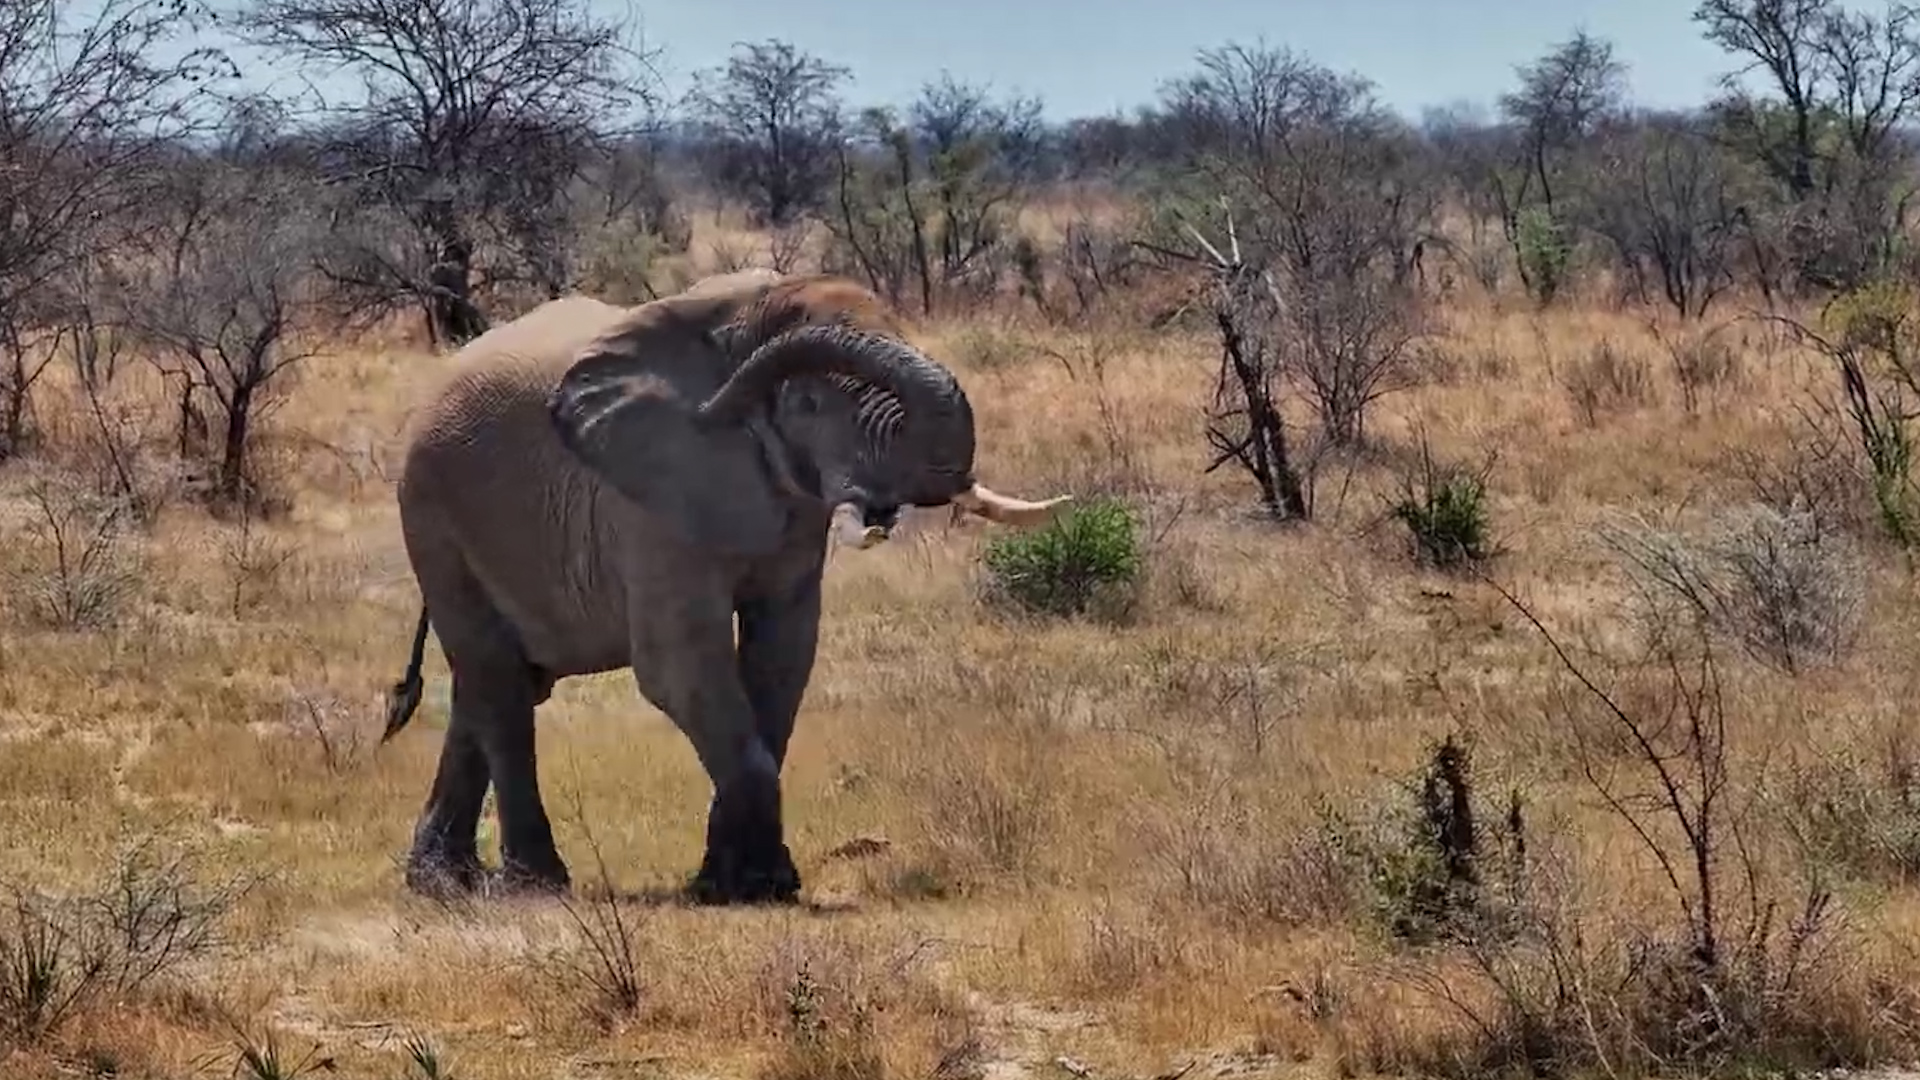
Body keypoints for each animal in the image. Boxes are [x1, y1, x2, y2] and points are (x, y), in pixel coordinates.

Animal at [377, 269, 1072, 904]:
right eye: (809, 405)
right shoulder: (649, 501)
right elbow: (678, 667)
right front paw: (760, 885)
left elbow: (783, 658)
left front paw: (732, 884)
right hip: (433, 515)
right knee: (496, 680)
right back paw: (535, 886)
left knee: (500, 683)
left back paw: (444, 882)